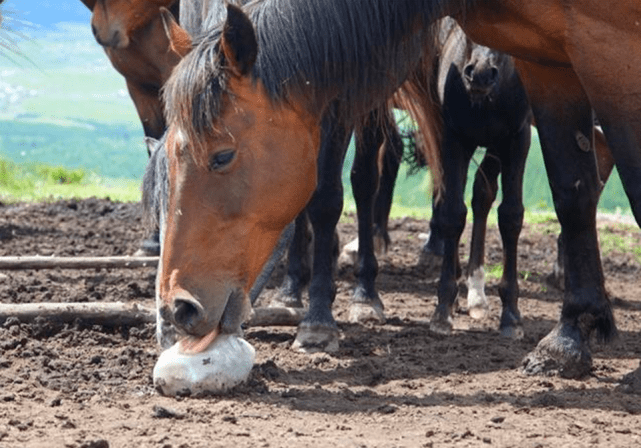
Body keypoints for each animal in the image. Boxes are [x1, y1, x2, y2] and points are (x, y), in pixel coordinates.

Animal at [156, 0, 640, 380]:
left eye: (222, 155)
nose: (177, 308)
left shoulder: (607, 45)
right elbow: (572, 192)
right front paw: (570, 338)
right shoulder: (549, 63)